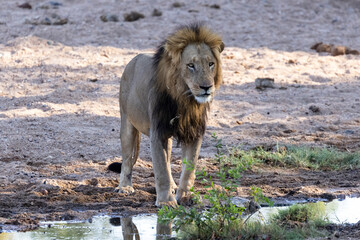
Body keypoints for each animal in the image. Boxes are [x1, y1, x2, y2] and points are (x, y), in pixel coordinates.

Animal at [108, 24, 224, 207]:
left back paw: (173, 186)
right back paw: (124, 187)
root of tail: (134, 59)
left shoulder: (193, 132)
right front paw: (165, 202)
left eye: (211, 64)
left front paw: (186, 196)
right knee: (127, 159)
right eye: (191, 65)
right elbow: (161, 169)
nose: (206, 87)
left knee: (168, 159)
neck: (185, 99)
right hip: (126, 121)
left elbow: (189, 167)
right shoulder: (158, 132)